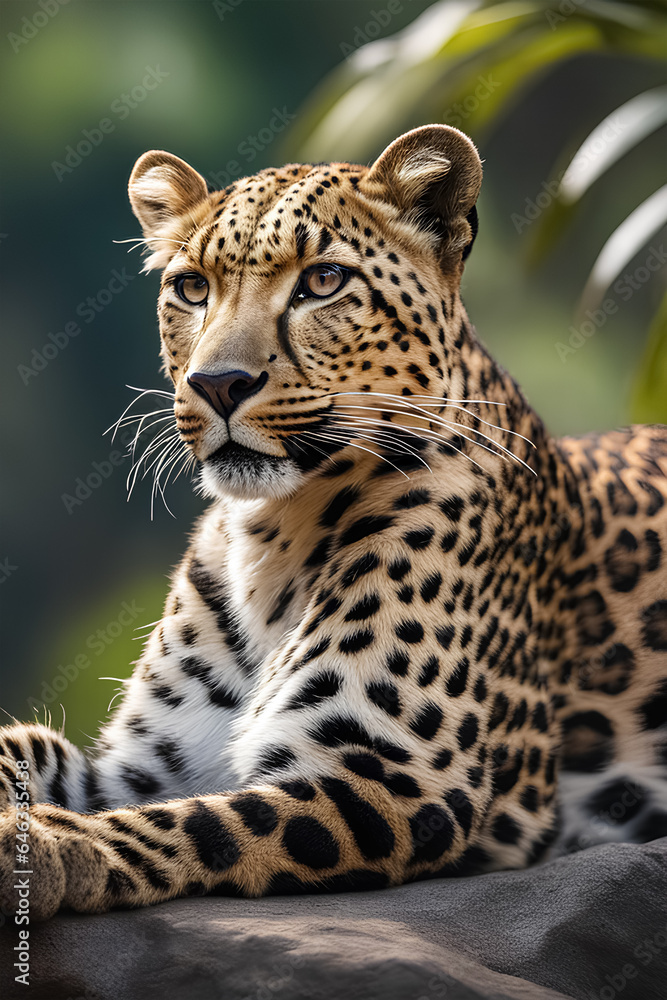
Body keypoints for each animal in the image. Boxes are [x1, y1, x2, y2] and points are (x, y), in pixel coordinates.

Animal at [1, 124, 666, 921]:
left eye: (322, 282)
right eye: (191, 289)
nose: (217, 383)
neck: (272, 535)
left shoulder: (396, 777)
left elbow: (196, 826)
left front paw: (44, 847)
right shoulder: (145, 764)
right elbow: (39, 750)